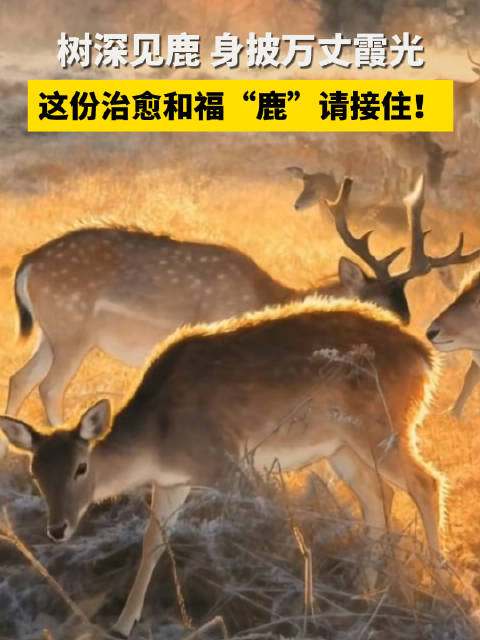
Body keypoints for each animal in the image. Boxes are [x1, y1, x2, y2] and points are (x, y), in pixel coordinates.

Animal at [0, 278, 447, 637]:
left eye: (81, 467)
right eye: (36, 472)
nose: (57, 529)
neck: (160, 439)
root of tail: (426, 359)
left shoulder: (232, 463)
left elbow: (277, 532)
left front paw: (294, 612)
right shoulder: (173, 481)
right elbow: (152, 542)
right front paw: (123, 624)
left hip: (384, 428)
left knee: (425, 483)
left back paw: (435, 583)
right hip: (342, 448)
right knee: (378, 498)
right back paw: (366, 594)